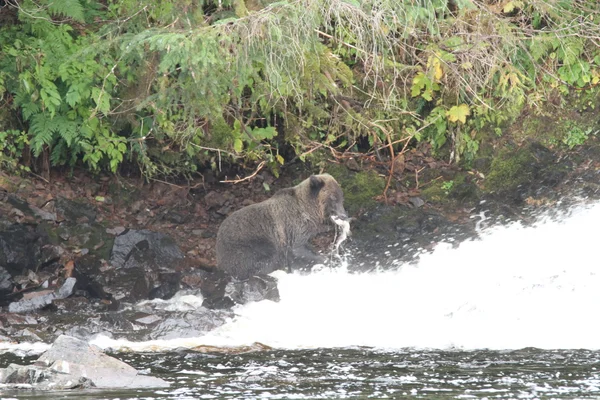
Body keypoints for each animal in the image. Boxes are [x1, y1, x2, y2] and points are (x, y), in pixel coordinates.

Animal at [214, 173, 346, 280]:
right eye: (333, 197)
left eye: (341, 196)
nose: (344, 215)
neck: (309, 211)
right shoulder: (293, 227)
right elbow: (298, 248)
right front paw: (327, 259)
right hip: (247, 246)